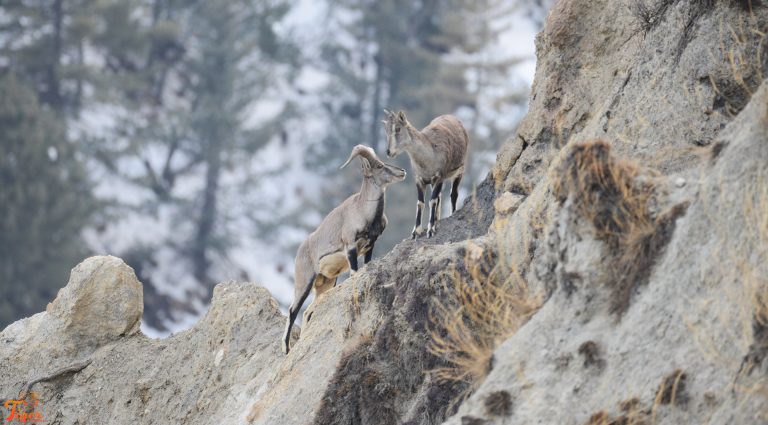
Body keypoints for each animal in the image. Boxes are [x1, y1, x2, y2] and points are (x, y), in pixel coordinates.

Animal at [282, 145, 406, 354]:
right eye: (379, 166)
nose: (402, 171)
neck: (364, 212)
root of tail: (300, 251)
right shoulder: (350, 248)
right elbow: (355, 273)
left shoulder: (370, 246)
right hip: (304, 282)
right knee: (293, 311)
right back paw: (287, 349)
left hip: (326, 283)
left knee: (308, 311)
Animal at [383, 110, 469, 239]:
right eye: (386, 130)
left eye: (398, 128)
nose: (389, 152)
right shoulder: (419, 179)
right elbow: (420, 203)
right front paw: (416, 231)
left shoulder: (439, 177)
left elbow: (432, 201)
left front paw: (431, 230)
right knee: (439, 197)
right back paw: (437, 221)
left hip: (460, 170)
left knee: (453, 194)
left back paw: (451, 214)